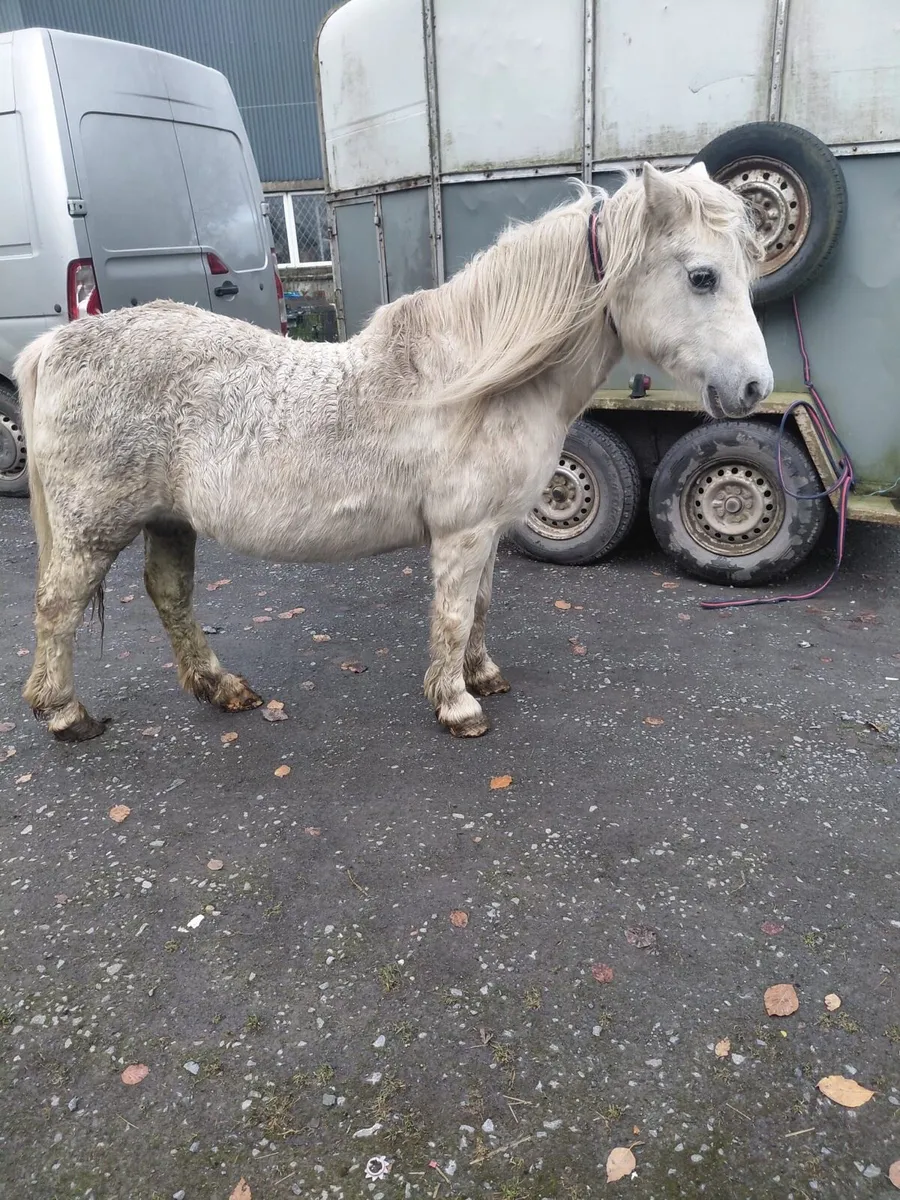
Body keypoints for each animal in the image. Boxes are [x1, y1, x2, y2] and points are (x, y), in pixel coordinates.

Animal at [15, 162, 771, 744]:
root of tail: (53, 346)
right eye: (703, 277)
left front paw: (480, 677)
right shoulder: (462, 533)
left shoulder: (487, 532)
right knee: (56, 607)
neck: (481, 375)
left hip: (169, 520)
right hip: (94, 528)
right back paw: (66, 715)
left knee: (169, 596)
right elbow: (455, 614)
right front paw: (457, 706)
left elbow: (480, 608)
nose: (754, 387)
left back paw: (221, 687)